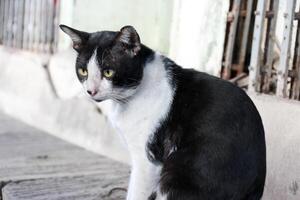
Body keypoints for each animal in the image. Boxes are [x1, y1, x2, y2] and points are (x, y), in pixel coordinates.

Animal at [59, 25, 266, 200]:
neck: (125, 100)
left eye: (108, 72)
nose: (90, 91)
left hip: (177, 169)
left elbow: (136, 193)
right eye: (83, 71)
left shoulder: (147, 161)